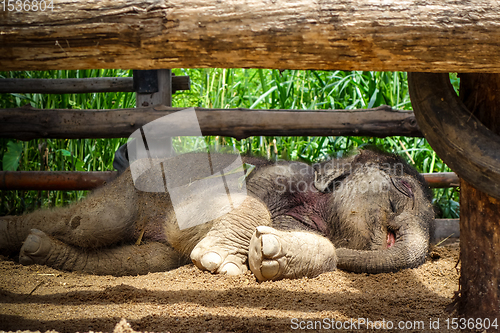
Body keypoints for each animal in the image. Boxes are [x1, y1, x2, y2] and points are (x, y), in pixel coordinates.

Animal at [0, 148, 434, 280]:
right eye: (401, 190)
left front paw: (269, 253)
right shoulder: (272, 178)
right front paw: (221, 261)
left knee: (140, 259)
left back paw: (37, 250)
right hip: (128, 193)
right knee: (86, 222)